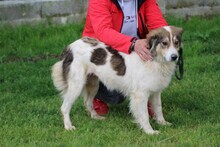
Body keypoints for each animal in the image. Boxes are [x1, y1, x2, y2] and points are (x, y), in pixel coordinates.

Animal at [52, 25, 184, 134]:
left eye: (176, 43)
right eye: (164, 43)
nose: (175, 57)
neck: (155, 60)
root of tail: (70, 47)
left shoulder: (156, 91)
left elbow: (158, 109)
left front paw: (163, 123)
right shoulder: (140, 94)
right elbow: (144, 115)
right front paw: (149, 131)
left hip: (93, 84)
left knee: (88, 102)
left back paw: (96, 117)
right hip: (76, 85)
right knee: (64, 107)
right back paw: (68, 126)